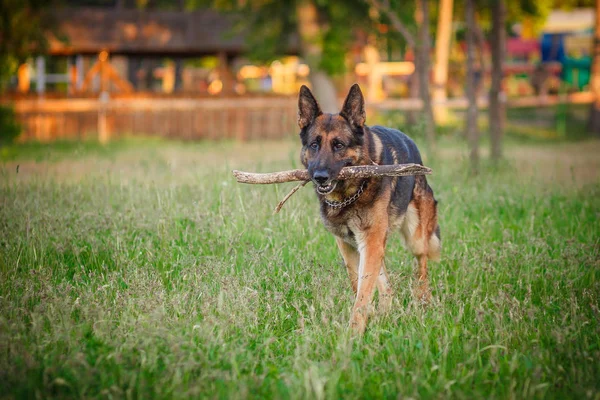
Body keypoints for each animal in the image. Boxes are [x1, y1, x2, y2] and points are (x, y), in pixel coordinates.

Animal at [298, 84, 440, 334]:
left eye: (339, 145)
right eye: (314, 144)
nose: (320, 177)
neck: (348, 195)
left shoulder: (370, 242)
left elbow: (363, 293)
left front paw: (353, 334)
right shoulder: (348, 245)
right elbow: (358, 284)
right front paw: (368, 319)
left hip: (415, 237)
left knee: (421, 265)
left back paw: (423, 299)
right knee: (386, 284)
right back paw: (386, 312)